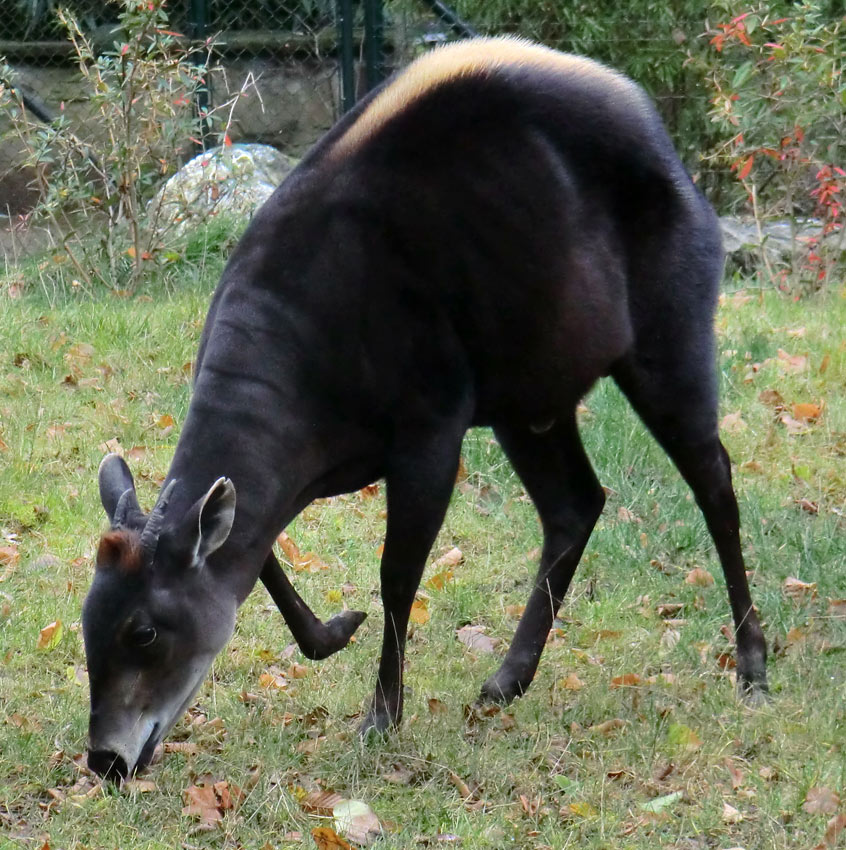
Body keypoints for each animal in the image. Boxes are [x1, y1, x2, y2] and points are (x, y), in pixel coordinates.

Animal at [83, 39, 772, 780]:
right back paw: (507, 679)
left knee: (715, 484)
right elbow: (257, 549)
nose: (104, 759)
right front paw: (335, 632)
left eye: (144, 631)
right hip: (528, 399)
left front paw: (380, 718)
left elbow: (395, 576)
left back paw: (753, 668)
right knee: (575, 505)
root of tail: (673, 158)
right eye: (88, 620)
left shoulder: (430, 432)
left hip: (668, 342)